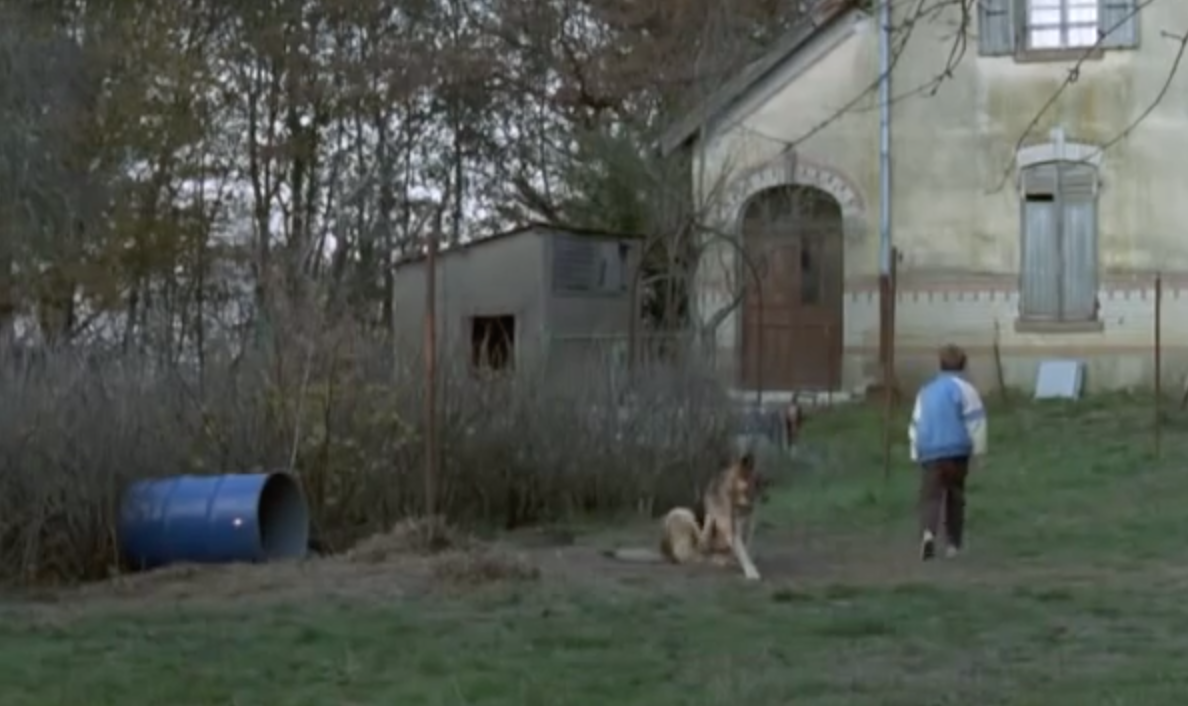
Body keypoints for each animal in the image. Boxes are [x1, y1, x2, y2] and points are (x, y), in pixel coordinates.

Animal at [608, 451, 765, 577]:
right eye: (751, 486)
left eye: (758, 484)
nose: (757, 502)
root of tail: (664, 552)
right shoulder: (732, 531)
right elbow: (742, 552)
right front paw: (750, 570)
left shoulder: (745, 531)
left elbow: (743, 549)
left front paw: (736, 560)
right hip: (682, 513)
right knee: (693, 551)